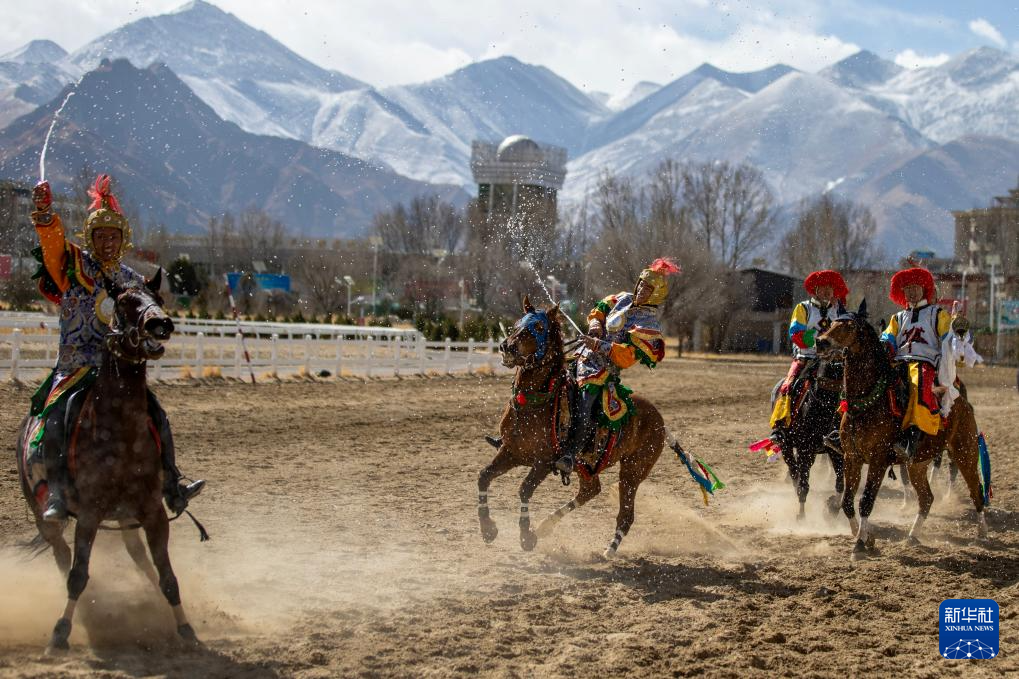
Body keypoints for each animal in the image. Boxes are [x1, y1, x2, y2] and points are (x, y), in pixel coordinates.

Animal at [14, 275, 196, 652]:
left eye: (157, 298)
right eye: (125, 303)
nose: (161, 324)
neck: (120, 430)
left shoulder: (153, 512)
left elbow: (167, 576)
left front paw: (186, 629)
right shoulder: (89, 514)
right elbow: (77, 575)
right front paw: (60, 631)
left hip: (126, 516)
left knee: (138, 555)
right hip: (44, 517)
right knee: (62, 557)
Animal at [478, 299, 672, 558]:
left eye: (539, 327)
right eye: (519, 322)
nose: (506, 347)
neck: (534, 402)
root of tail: (660, 420)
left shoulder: (543, 461)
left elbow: (524, 489)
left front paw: (526, 536)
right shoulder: (510, 452)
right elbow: (484, 476)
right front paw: (488, 529)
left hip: (633, 473)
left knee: (625, 515)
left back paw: (608, 550)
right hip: (587, 464)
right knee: (590, 490)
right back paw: (545, 526)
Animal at [811, 301, 986, 558]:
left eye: (849, 326)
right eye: (832, 323)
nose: (821, 341)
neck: (868, 402)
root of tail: (961, 401)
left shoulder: (878, 461)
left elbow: (866, 501)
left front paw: (860, 543)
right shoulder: (852, 458)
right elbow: (847, 501)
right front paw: (865, 537)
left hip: (965, 453)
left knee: (976, 490)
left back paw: (983, 533)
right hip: (917, 465)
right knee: (926, 498)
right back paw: (912, 535)